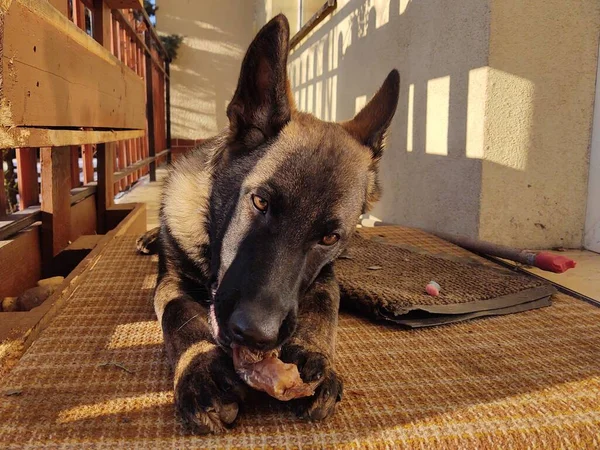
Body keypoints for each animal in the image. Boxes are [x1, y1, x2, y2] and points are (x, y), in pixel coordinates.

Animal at [136, 14, 398, 432]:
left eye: (329, 236)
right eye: (260, 202)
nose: (256, 335)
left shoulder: (325, 277)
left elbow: (323, 311)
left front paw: (311, 354)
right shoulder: (171, 282)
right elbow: (180, 316)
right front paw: (200, 367)